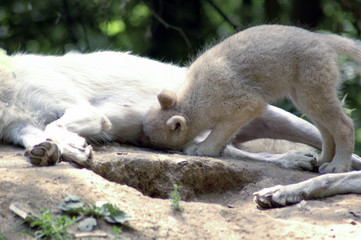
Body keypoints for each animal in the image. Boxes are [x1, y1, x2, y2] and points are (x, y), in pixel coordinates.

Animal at [143, 24, 360, 174]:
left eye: (159, 143)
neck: (195, 100)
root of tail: (323, 38)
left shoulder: (249, 104)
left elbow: (220, 130)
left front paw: (203, 148)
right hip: (305, 97)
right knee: (326, 130)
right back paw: (322, 161)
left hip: (312, 93)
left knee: (345, 126)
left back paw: (337, 167)